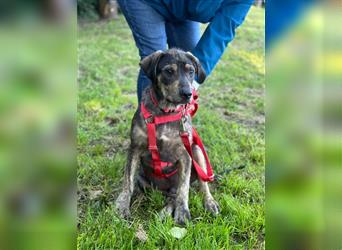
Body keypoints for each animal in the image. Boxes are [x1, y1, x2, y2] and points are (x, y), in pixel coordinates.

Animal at [115, 48, 219, 225]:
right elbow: (128, 180)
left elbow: (183, 189)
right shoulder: (135, 148)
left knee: (197, 186)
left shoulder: (186, 155)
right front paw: (122, 205)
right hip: (145, 179)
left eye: (191, 71)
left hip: (197, 151)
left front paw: (183, 212)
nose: (188, 94)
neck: (166, 111)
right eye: (169, 71)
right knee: (160, 194)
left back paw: (208, 203)